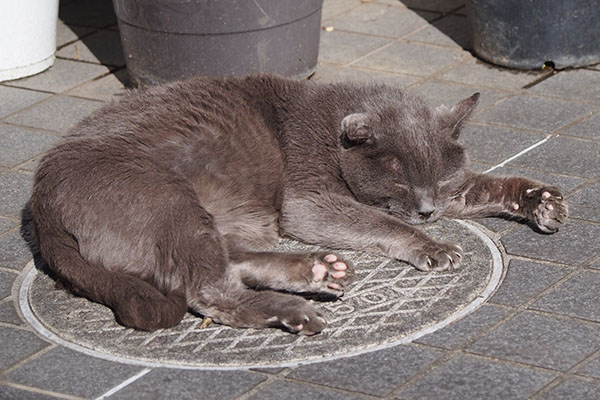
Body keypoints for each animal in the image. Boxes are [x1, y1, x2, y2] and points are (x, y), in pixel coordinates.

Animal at [29, 75, 568, 334]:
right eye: (400, 181)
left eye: (440, 179)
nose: (427, 210)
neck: (329, 132)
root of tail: (41, 203)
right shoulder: (305, 200)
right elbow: (377, 219)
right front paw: (432, 246)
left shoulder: (454, 192)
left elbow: (483, 186)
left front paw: (539, 200)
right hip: (168, 201)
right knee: (208, 290)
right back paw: (292, 308)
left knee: (230, 262)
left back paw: (317, 271)